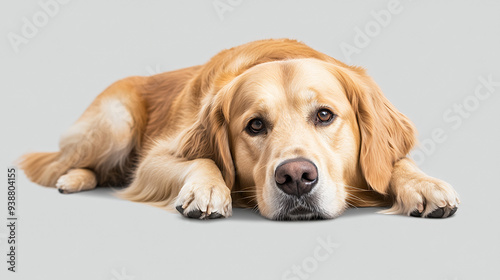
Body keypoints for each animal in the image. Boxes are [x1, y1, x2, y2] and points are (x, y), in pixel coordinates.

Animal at [17, 38, 458, 220]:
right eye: (255, 125)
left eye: (325, 115)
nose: (296, 177)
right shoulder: (154, 159)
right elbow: (203, 162)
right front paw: (208, 190)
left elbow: (397, 161)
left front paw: (423, 184)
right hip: (115, 122)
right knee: (58, 164)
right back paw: (73, 178)